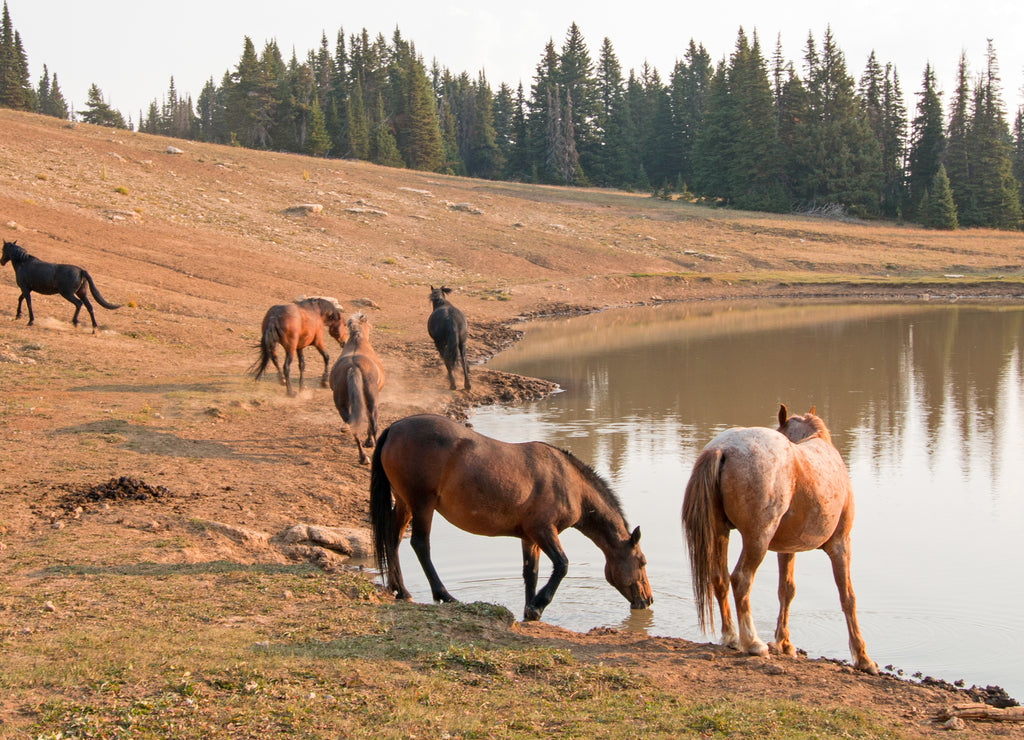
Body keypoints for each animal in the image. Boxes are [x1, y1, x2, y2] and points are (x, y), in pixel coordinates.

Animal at [329, 313, 385, 462]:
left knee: (354, 426)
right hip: (372, 401)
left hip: (342, 404)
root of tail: (353, 367)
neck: (358, 342)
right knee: (373, 422)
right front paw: (369, 442)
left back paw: (363, 457)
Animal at [372, 413, 651, 622]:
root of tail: (394, 428)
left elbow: (531, 573)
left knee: (393, 539)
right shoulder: (544, 531)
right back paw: (444, 595)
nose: (648, 599)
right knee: (420, 545)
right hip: (422, 505)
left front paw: (529, 609)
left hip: (406, 504)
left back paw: (401, 590)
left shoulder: (530, 538)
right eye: (642, 562)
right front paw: (538, 606)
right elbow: (562, 565)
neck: (570, 482)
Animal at [684, 405, 876, 675]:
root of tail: (723, 448)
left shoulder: (787, 549)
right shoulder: (841, 544)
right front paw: (863, 657)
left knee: (720, 579)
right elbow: (848, 597)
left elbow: (787, 590)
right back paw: (753, 643)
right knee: (741, 579)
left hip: (721, 532)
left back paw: (732, 637)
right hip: (757, 540)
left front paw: (784, 643)